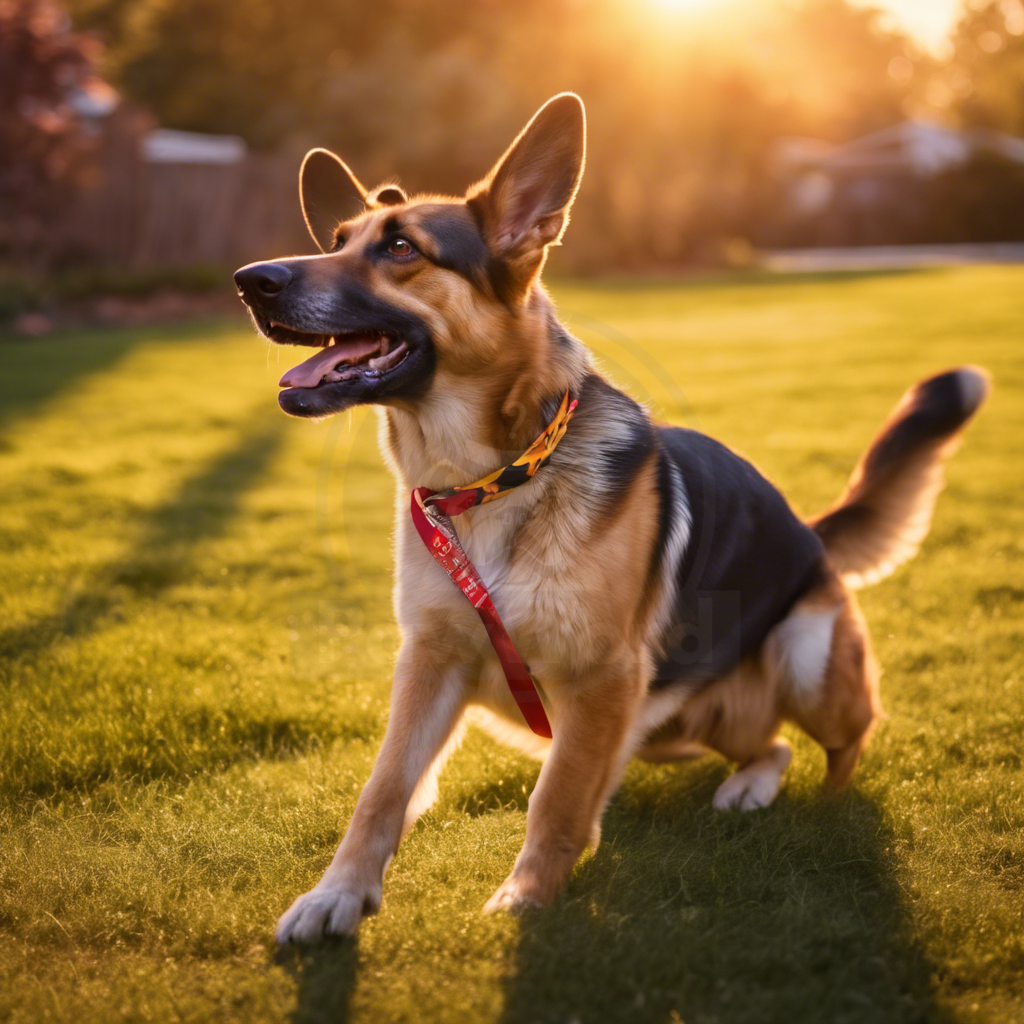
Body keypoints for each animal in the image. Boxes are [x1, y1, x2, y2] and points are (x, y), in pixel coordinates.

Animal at [235, 96, 987, 942]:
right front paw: (338, 893)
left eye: (401, 249)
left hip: (798, 656)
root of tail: (811, 537)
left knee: (841, 742)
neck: (492, 481)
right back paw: (737, 788)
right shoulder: (430, 664)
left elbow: (555, 796)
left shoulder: (600, 678)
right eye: (334, 243)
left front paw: (527, 900)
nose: (249, 282)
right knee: (763, 748)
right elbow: (385, 787)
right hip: (667, 728)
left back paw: (818, 807)